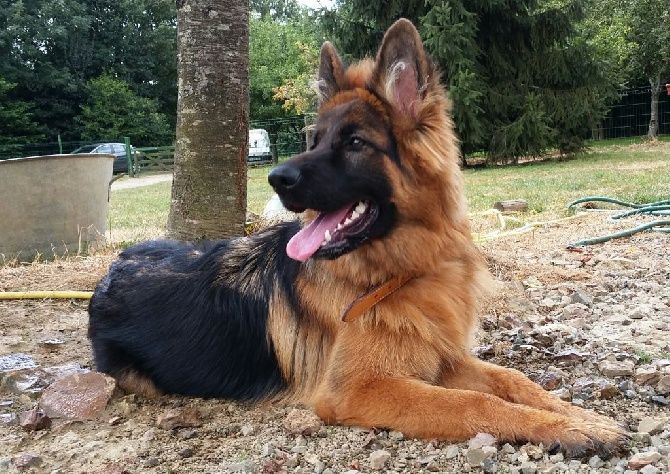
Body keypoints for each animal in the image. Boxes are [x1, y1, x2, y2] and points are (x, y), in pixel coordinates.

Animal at [86, 20, 628, 458]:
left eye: (354, 143)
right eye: (313, 140)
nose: (275, 179)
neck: (397, 272)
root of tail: (114, 267)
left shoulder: (440, 358)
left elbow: (510, 378)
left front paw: (579, 416)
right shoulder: (361, 390)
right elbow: (475, 403)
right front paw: (564, 427)